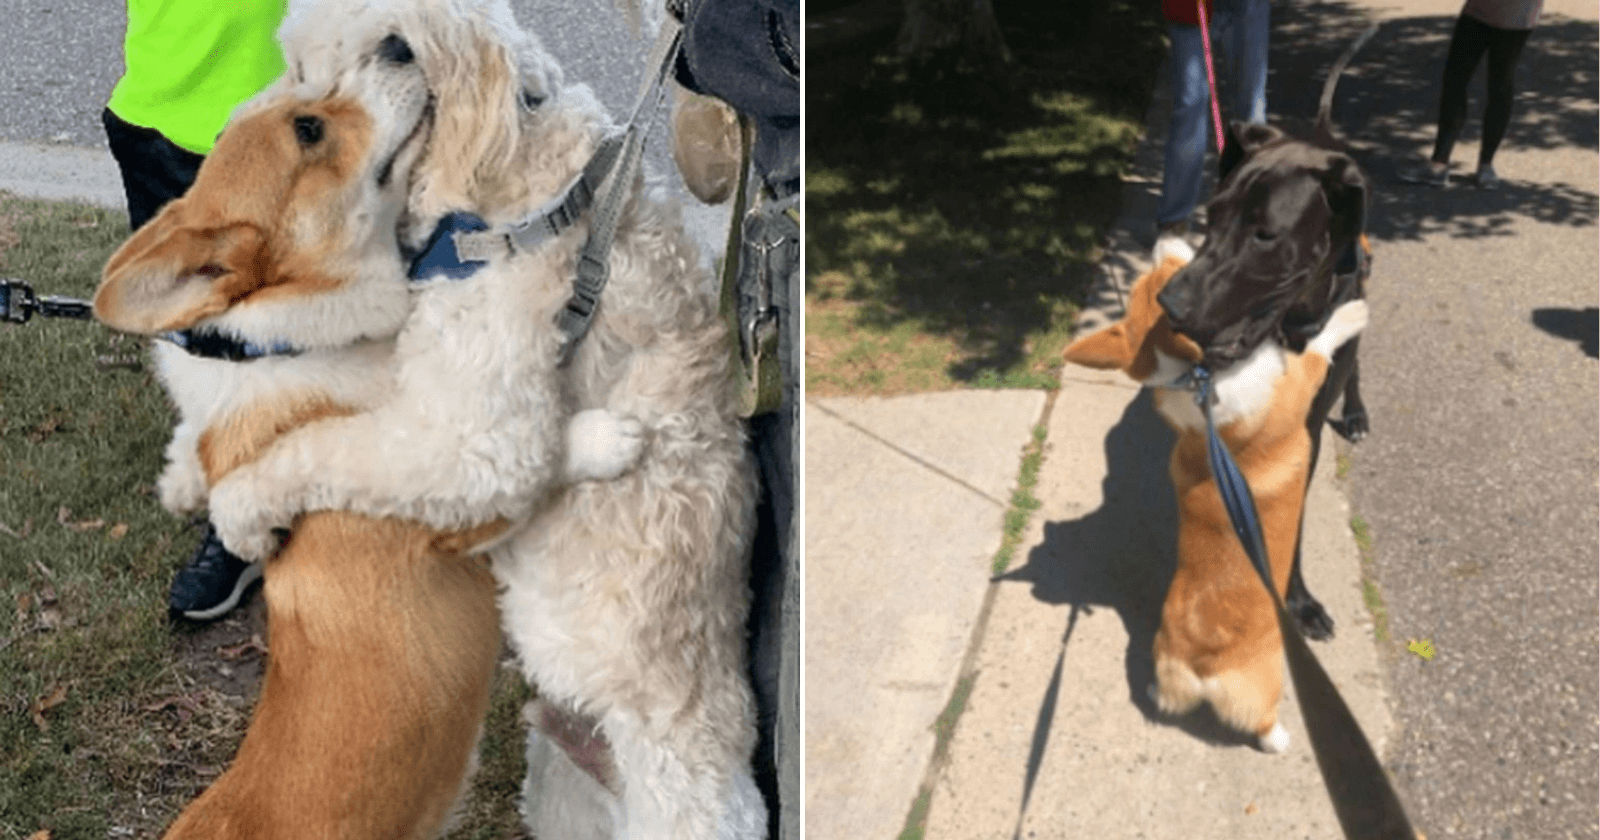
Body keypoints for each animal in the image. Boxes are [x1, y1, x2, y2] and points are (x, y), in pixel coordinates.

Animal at [93, 1, 768, 838]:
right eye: (306, 68)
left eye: (311, 104)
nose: (390, 48)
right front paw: (187, 473)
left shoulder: (473, 442)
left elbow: (317, 452)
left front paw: (237, 509)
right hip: (563, 791)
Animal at [1062, 236, 1363, 752]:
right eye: (1173, 273)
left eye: (1156, 274)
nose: (1163, 236)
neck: (1196, 380)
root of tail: (1198, 669)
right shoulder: (1299, 378)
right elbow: (1321, 343)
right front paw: (1352, 311)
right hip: (1264, 686)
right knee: (1259, 719)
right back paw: (1278, 739)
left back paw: (1153, 689)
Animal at [1152, 27, 1376, 643]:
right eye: (1212, 213)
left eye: (1265, 235)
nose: (1170, 304)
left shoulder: (1305, 433)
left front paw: (1296, 600)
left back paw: (1356, 410)